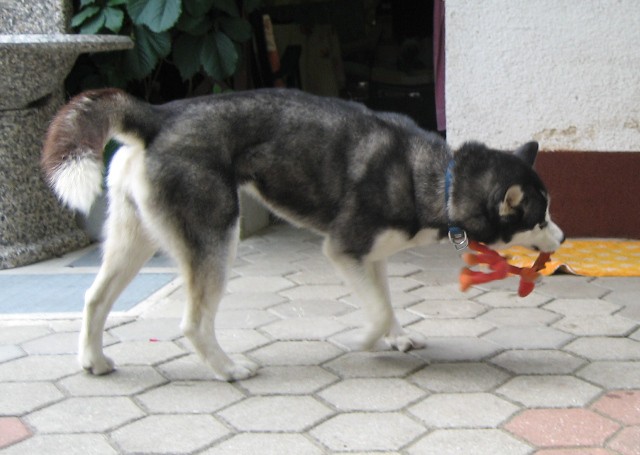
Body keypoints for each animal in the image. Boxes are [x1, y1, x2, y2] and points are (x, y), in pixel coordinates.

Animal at [42, 89, 564, 382]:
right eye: (539, 219)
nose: (561, 240)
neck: (443, 178)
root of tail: (160, 114)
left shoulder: (371, 257)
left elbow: (386, 302)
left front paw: (395, 337)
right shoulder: (344, 249)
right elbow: (376, 311)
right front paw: (367, 340)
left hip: (135, 239)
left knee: (94, 298)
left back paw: (93, 359)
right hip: (218, 237)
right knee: (193, 323)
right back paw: (228, 369)